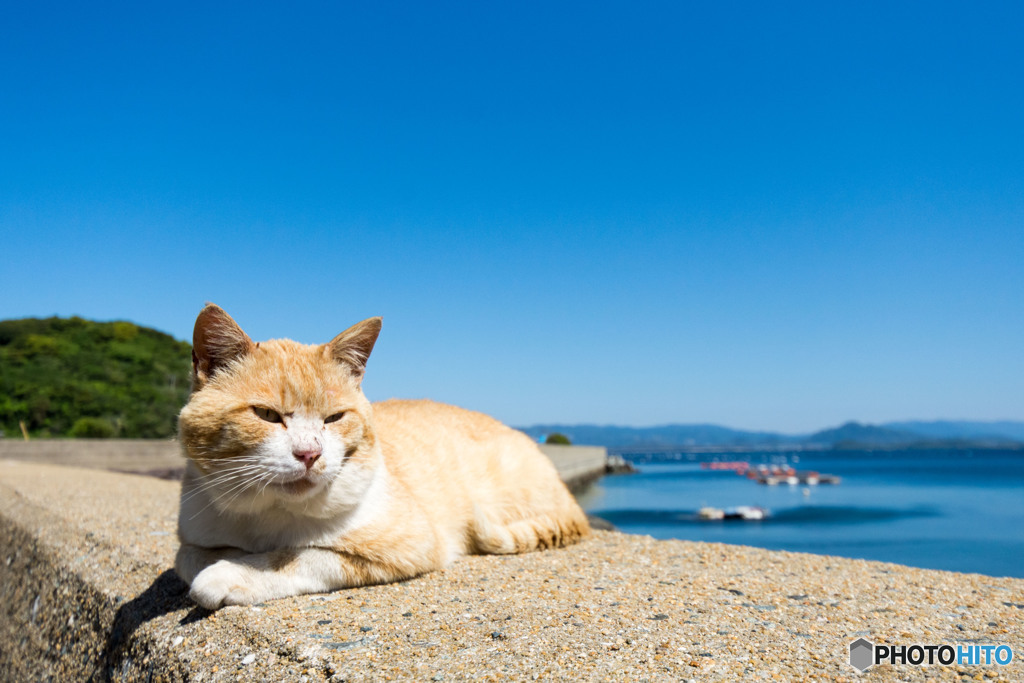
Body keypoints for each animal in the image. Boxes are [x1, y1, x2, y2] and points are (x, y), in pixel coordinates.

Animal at [176, 305, 593, 610]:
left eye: (334, 418)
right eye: (265, 414)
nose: (310, 453)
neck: (269, 515)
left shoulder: (412, 543)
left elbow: (299, 554)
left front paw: (233, 571)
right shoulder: (194, 527)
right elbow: (188, 557)